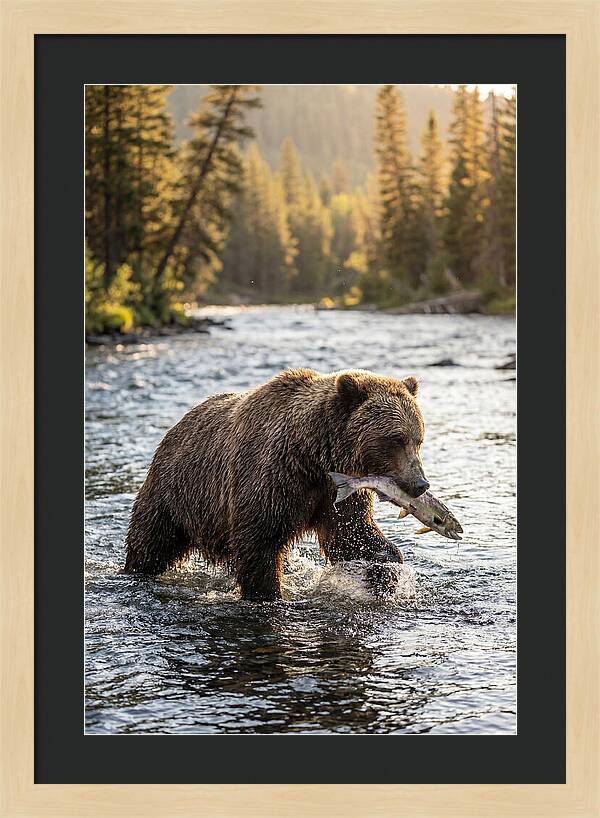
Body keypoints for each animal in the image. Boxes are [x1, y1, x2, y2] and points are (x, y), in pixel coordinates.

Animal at [124, 368, 429, 600]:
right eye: (396, 439)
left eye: (418, 439)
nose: (420, 484)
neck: (313, 456)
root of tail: (176, 426)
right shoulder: (272, 478)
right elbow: (259, 542)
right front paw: (267, 593)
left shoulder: (336, 491)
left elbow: (351, 533)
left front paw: (386, 571)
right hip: (175, 493)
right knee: (151, 542)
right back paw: (135, 571)